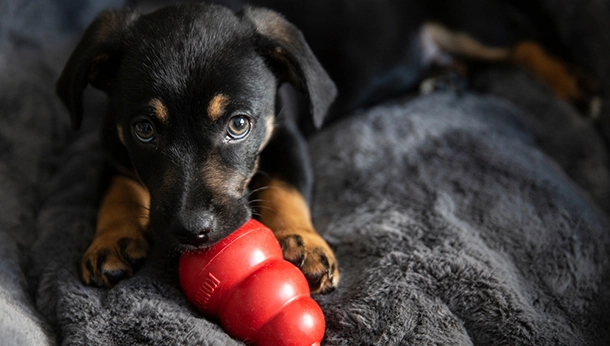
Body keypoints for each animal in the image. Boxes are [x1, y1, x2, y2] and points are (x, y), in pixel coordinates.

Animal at [55, 3, 338, 294]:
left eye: (238, 124)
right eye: (144, 129)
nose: (193, 231)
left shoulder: (287, 138)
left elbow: (286, 188)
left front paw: (302, 240)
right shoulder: (112, 149)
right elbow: (118, 191)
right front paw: (111, 240)